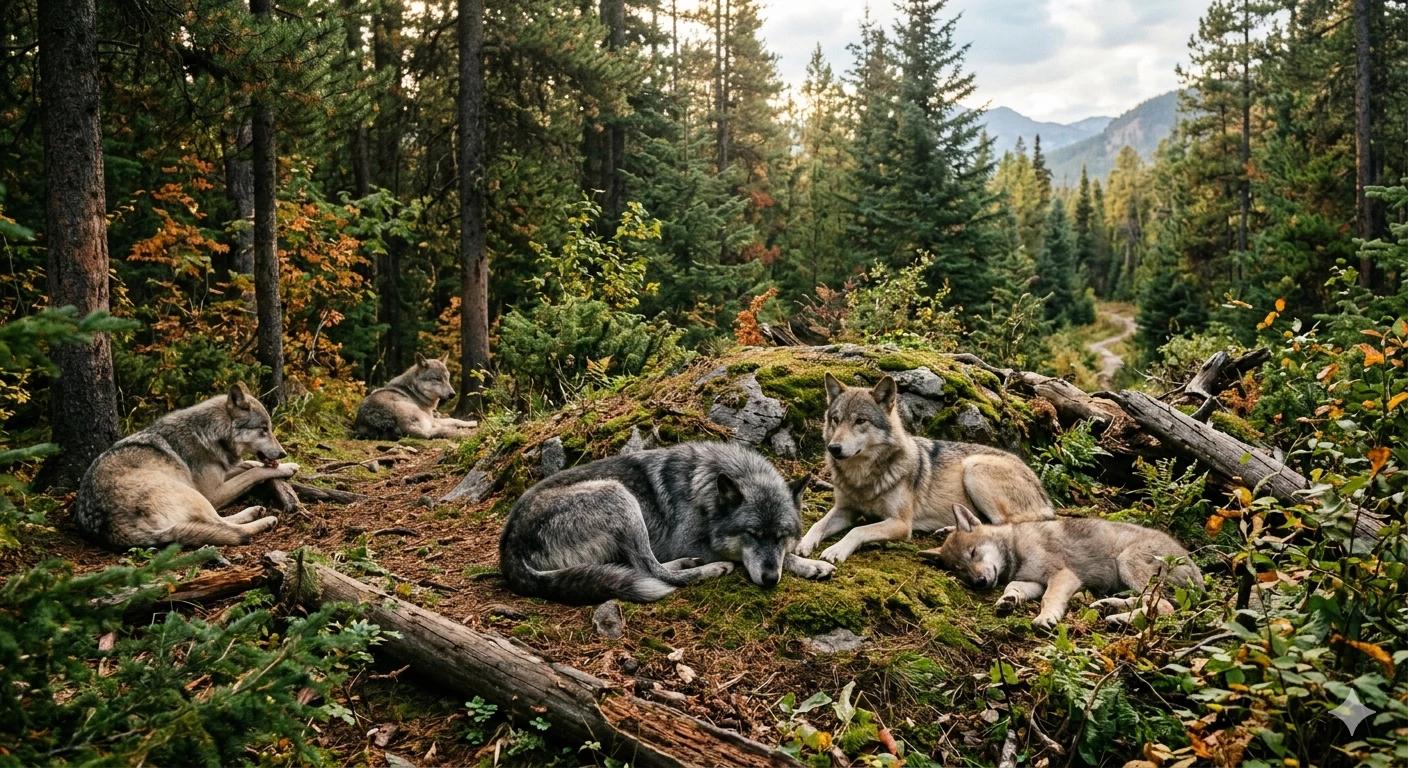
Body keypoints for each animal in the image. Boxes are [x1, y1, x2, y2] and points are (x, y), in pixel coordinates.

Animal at [73, 383, 298, 549]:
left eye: (269, 428)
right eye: (263, 429)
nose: (283, 453)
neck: (210, 434)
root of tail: (111, 527)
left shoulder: (221, 473)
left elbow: (247, 465)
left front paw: (288, 464)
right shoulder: (213, 493)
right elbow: (255, 472)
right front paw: (284, 468)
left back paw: (255, 511)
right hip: (193, 494)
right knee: (224, 526)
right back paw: (265, 519)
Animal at [498, 441, 837, 605]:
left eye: (780, 536)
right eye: (752, 534)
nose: (769, 580)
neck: (707, 490)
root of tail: (508, 547)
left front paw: (810, 564)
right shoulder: (688, 541)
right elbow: (742, 557)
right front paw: (806, 565)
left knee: (644, 566)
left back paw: (688, 563)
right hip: (619, 496)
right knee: (653, 571)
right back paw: (710, 568)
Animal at [796, 373, 1054, 564]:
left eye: (860, 421)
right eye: (836, 419)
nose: (834, 448)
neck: (862, 477)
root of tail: (1043, 492)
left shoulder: (900, 523)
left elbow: (858, 530)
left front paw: (836, 550)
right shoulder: (845, 509)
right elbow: (818, 524)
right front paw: (802, 543)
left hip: (974, 468)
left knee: (1004, 525)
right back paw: (949, 529)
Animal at [921, 504, 1202, 628]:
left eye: (973, 552)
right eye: (960, 570)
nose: (979, 583)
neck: (1016, 546)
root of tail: (1197, 573)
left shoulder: (1062, 576)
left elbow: (1049, 598)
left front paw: (1046, 617)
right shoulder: (1033, 580)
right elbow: (1013, 587)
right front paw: (1008, 600)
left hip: (1127, 562)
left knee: (1164, 607)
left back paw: (1119, 618)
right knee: (1149, 601)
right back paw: (1109, 607)